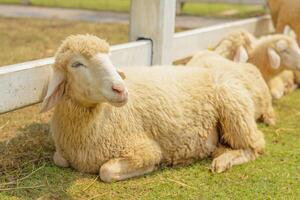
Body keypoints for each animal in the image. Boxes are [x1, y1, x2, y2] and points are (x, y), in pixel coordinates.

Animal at [41, 34, 264, 183]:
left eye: (110, 59)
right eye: (76, 64)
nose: (121, 89)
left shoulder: (143, 149)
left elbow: (106, 171)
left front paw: (151, 167)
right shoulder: (64, 153)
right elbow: (59, 159)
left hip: (235, 113)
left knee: (255, 147)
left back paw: (223, 161)